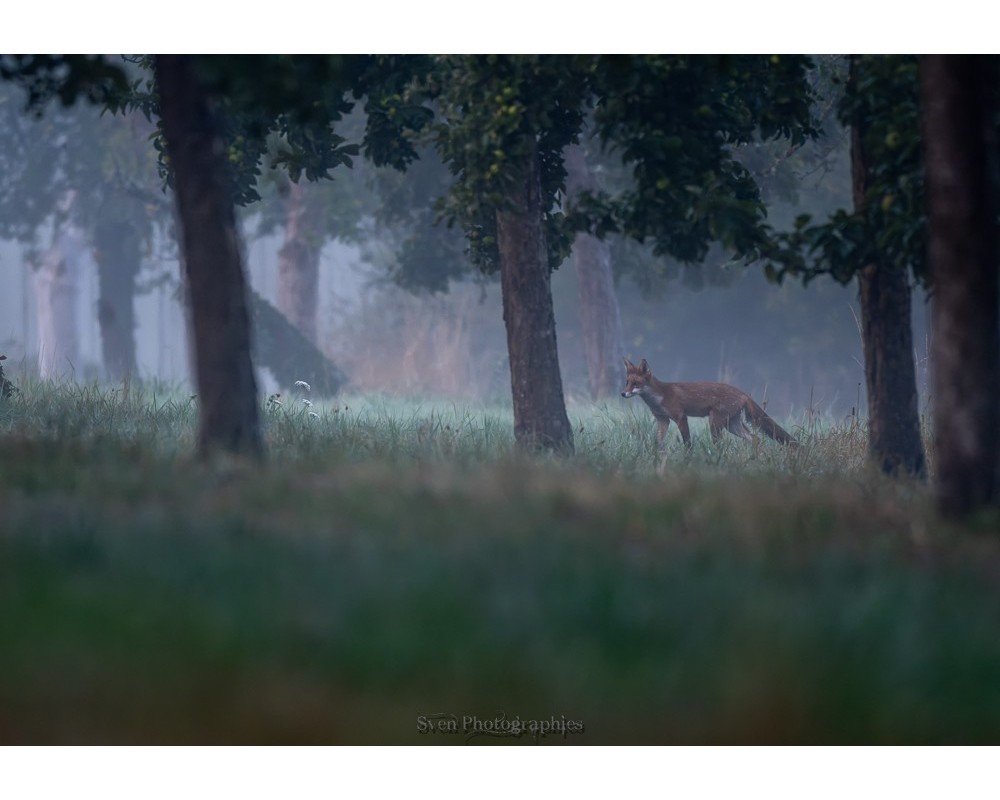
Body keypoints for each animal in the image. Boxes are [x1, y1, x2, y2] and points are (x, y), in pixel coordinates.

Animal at [621, 357, 797, 449]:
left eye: (636, 384)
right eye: (627, 382)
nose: (623, 394)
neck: (659, 397)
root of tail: (742, 392)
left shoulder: (680, 416)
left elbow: (687, 442)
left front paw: (688, 459)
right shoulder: (663, 419)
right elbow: (658, 442)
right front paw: (657, 455)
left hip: (715, 423)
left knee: (722, 444)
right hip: (732, 425)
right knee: (755, 439)